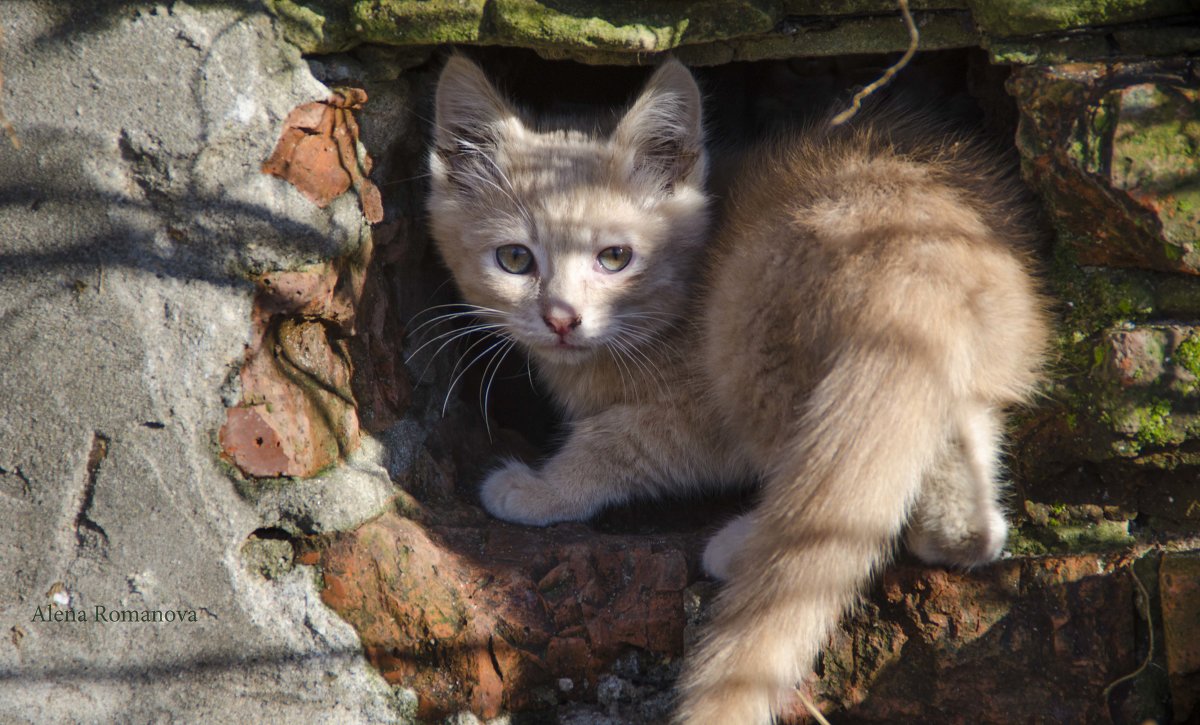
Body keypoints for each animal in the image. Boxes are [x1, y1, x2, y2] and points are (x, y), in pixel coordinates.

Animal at [427, 56, 1046, 725]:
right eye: (515, 259)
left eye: (614, 257)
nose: (562, 319)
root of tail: (916, 256)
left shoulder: (696, 414)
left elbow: (617, 441)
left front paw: (544, 490)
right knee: (951, 479)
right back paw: (958, 528)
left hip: (745, 326)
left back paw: (745, 547)